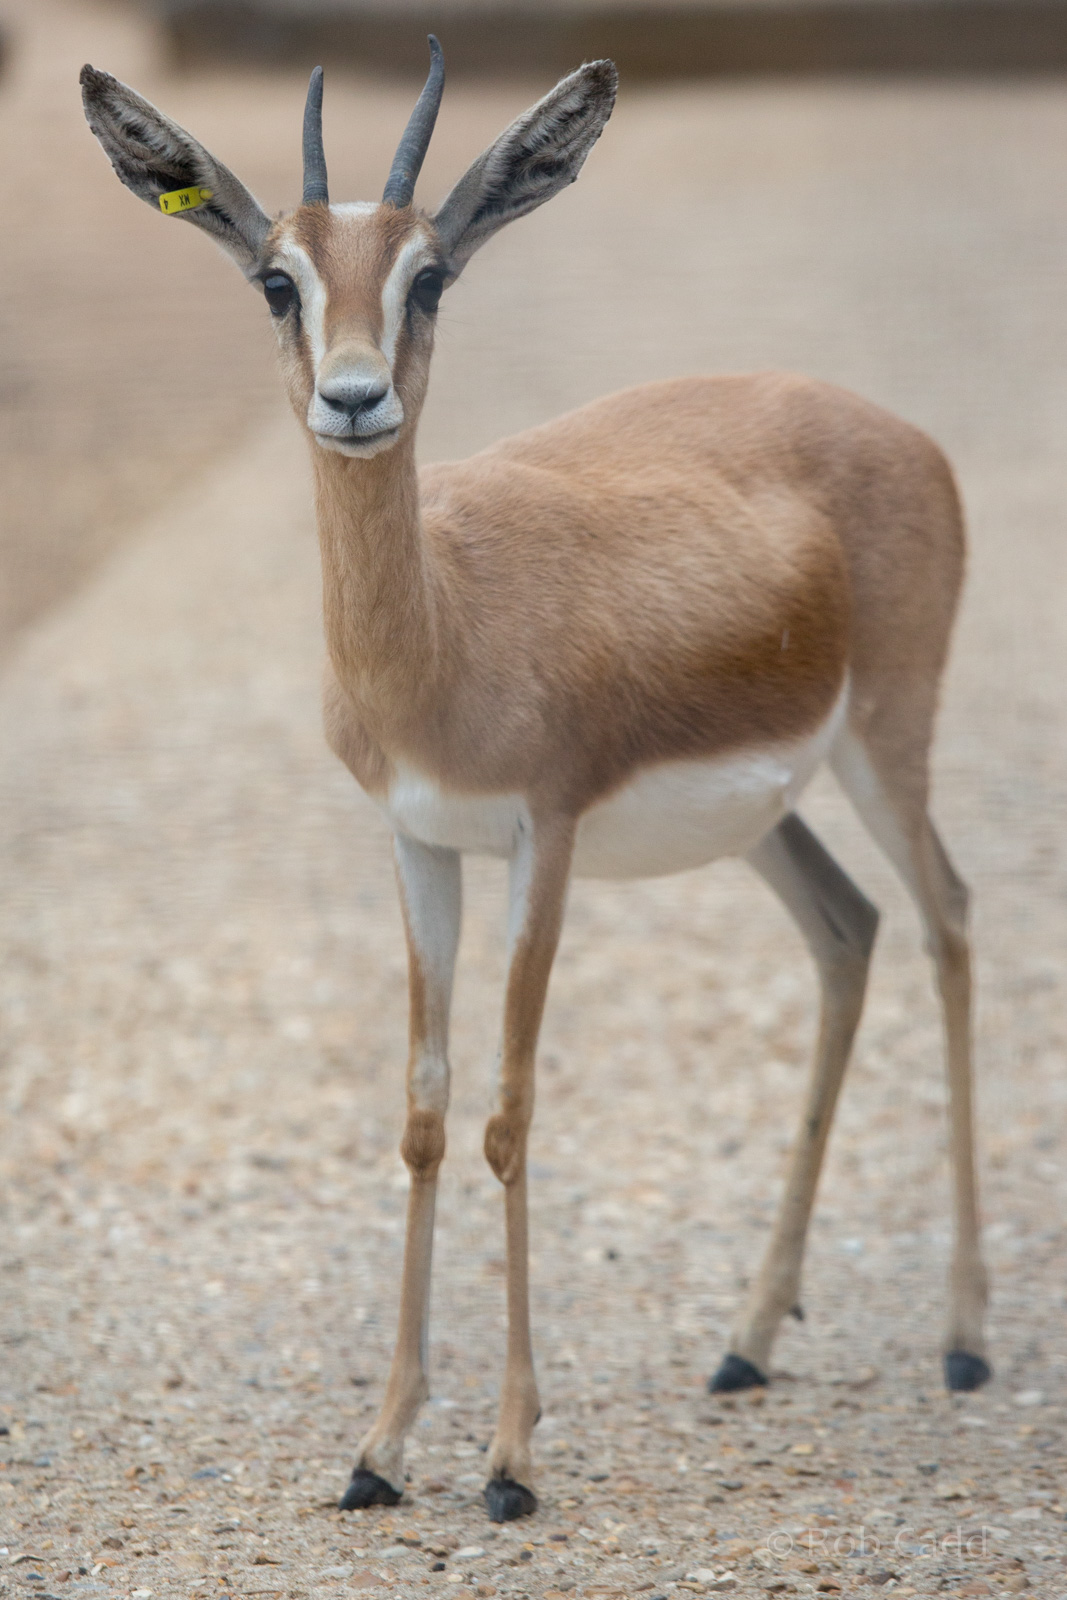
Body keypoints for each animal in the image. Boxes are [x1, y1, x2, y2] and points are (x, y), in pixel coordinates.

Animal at [81, 40, 990, 1524]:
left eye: (430, 274)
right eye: (278, 278)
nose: (352, 398)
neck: (444, 631)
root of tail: (889, 425)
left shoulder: (540, 840)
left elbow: (510, 1112)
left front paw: (508, 1459)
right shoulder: (415, 842)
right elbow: (424, 1111)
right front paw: (380, 1448)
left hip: (883, 737)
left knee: (948, 919)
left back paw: (964, 1339)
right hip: (767, 813)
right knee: (846, 929)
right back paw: (744, 1342)